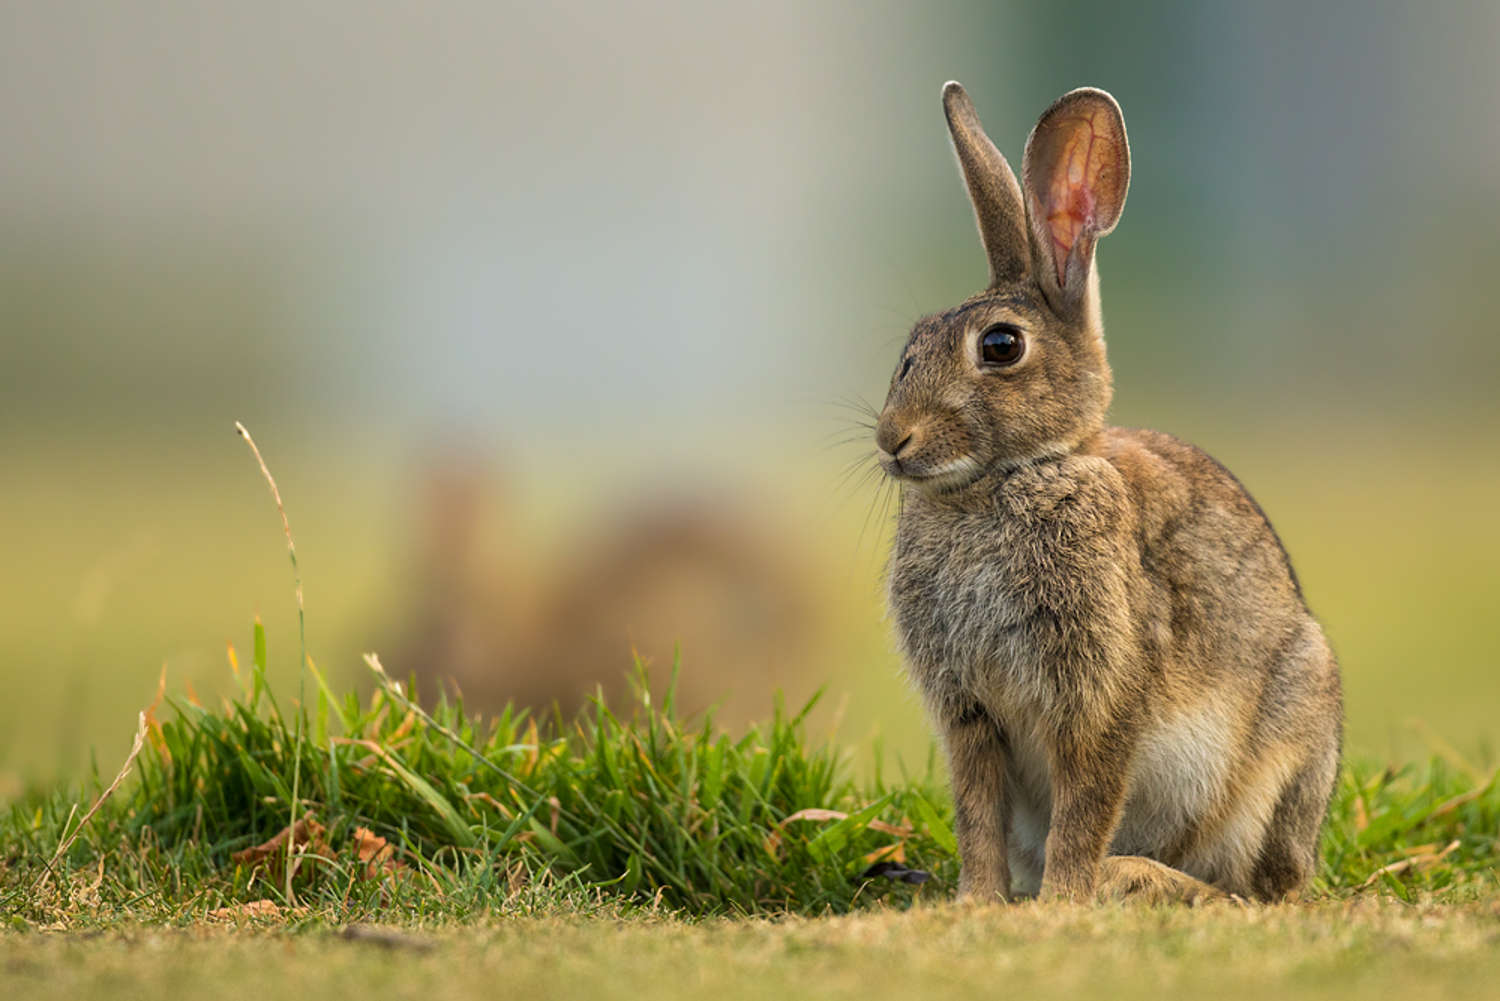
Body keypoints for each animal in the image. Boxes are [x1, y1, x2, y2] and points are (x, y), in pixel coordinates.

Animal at [876, 82, 1344, 906]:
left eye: (1000, 346)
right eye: (911, 348)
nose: (891, 440)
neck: (1005, 479)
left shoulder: (1101, 694)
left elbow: (1086, 802)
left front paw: (1063, 897)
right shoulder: (969, 715)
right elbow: (977, 812)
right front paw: (978, 901)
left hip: (1287, 746)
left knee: (1254, 888)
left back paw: (1135, 876)